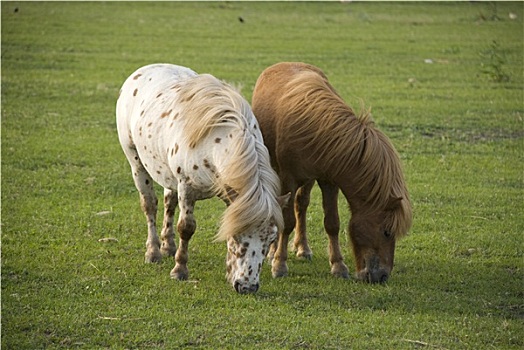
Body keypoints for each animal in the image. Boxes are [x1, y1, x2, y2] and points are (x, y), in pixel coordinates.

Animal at [115, 63, 286, 292]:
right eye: (239, 237)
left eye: (271, 240)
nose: (247, 287)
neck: (216, 142)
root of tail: (142, 71)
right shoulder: (187, 187)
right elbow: (186, 228)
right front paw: (180, 270)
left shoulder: (230, 192)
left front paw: (229, 271)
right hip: (136, 162)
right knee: (149, 205)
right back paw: (153, 251)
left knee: (169, 203)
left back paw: (167, 245)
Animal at [252, 62, 412, 282]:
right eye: (387, 232)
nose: (382, 276)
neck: (315, 129)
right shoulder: (288, 179)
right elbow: (287, 221)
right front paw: (279, 264)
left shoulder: (329, 182)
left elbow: (332, 223)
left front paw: (338, 265)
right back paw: (272, 251)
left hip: (308, 179)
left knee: (301, 204)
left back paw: (302, 248)